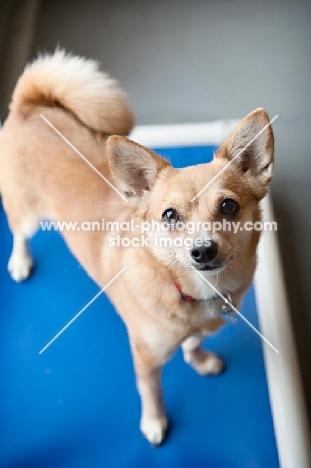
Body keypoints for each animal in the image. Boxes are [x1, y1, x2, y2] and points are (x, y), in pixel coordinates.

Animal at [0, 50, 276, 446]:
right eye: (169, 215)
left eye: (228, 206)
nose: (202, 251)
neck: (194, 292)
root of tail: (29, 105)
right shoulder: (145, 356)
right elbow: (151, 391)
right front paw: (154, 422)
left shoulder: (196, 330)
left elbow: (192, 343)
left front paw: (199, 359)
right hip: (26, 214)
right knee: (18, 233)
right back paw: (20, 261)